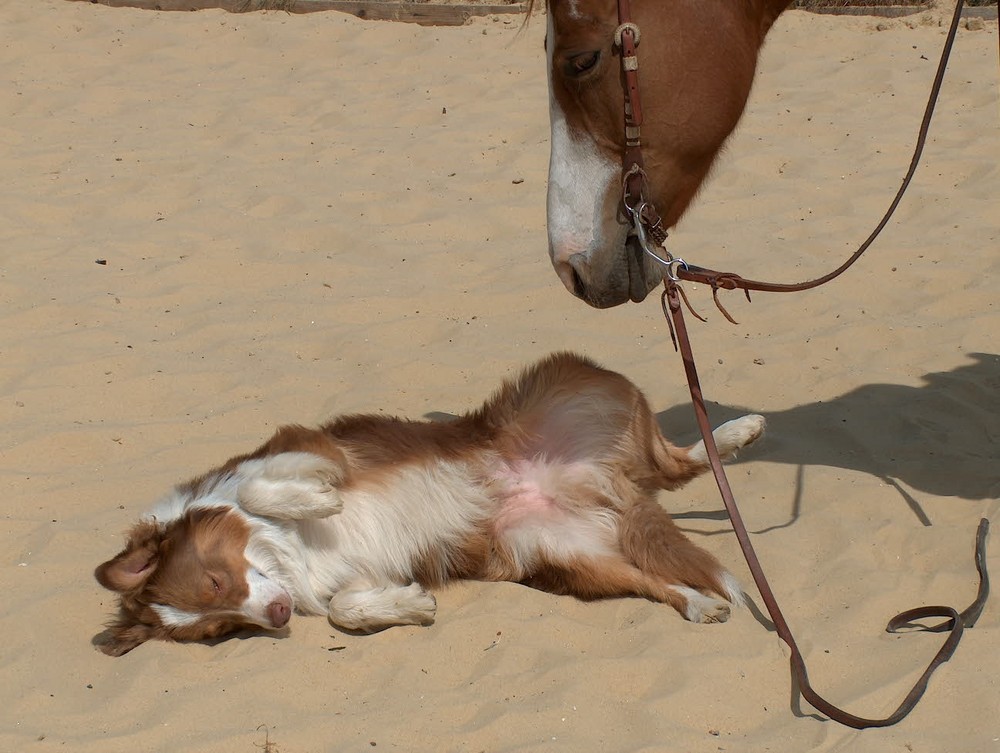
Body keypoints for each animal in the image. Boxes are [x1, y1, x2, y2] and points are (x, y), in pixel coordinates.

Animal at [95, 352, 764, 652]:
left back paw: (739, 431)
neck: (281, 554)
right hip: (567, 558)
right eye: (222, 629)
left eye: (214, 582)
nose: (279, 617)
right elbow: (344, 610)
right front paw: (408, 606)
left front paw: (314, 503)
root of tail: (606, 483)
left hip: (579, 382)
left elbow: (262, 487)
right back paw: (699, 604)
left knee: (675, 464)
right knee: (655, 576)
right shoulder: (343, 579)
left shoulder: (318, 453)